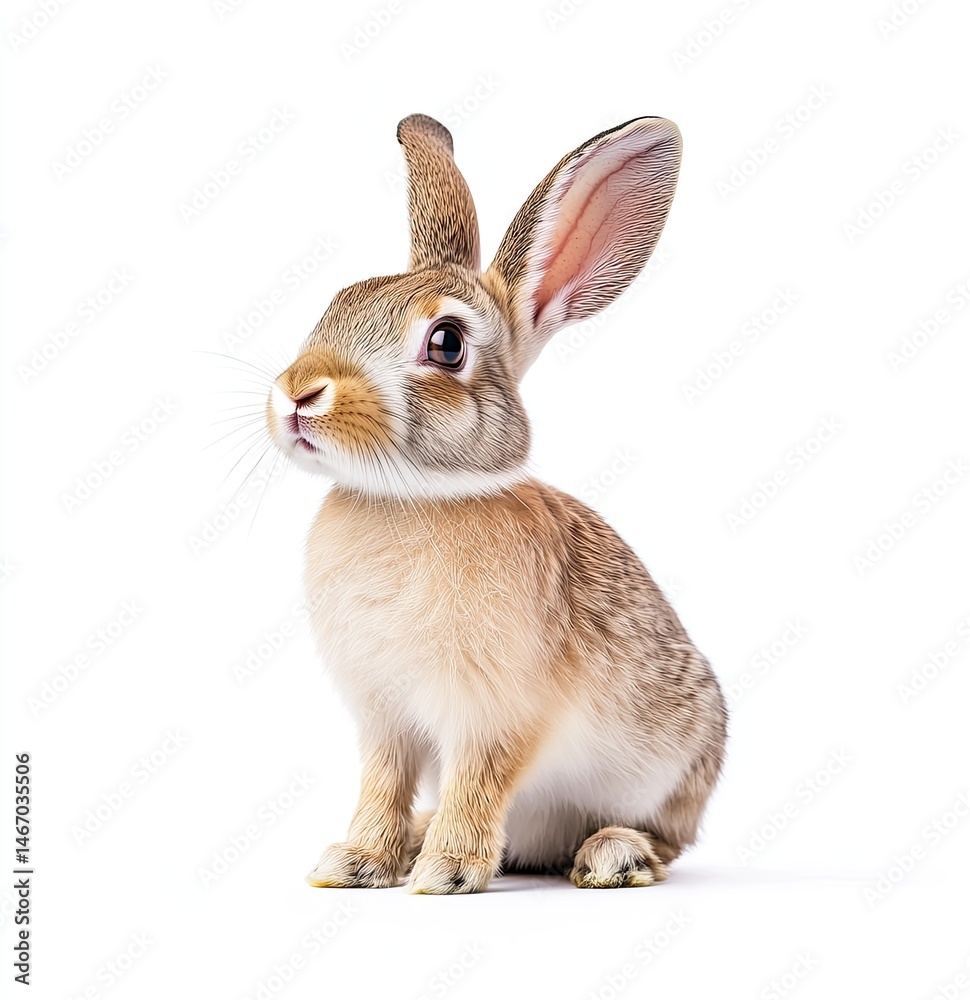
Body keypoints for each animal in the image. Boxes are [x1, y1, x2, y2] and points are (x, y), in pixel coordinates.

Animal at [266, 112, 727, 893]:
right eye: (337, 302)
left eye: (447, 344)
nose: (298, 393)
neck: (413, 497)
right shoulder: (385, 717)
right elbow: (382, 784)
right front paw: (357, 862)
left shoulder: (495, 712)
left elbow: (478, 781)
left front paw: (446, 872)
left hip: (675, 771)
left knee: (665, 839)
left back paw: (612, 854)